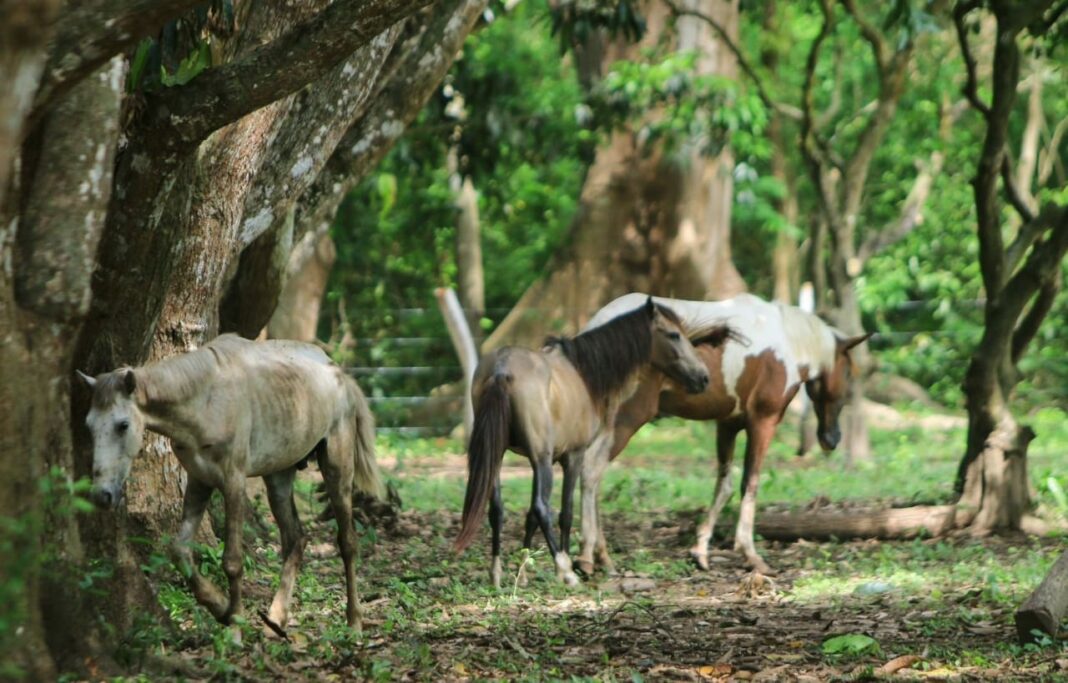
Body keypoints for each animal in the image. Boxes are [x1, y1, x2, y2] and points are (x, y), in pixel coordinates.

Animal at [80, 337, 388, 636]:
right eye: (89, 426)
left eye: (122, 425)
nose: (101, 495)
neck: (205, 399)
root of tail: (338, 373)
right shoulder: (199, 481)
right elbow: (180, 552)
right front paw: (221, 608)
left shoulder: (233, 482)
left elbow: (232, 561)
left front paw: (236, 627)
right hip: (278, 477)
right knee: (296, 538)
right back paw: (276, 620)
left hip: (337, 469)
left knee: (347, 542)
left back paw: (354, 623)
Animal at [450, 296, 734, 589]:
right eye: (674, 335)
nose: (703, 377)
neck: (583, 374)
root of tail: (501, 368)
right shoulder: (572, 456)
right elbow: (564, 513)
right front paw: (561, 567)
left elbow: (528, 517)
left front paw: (522, 572)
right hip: (541, 460)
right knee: (542, 508)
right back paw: (565, 570)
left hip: (496, 456)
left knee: (497, 510)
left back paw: (495, 574)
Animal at [576, 290, 867, 572]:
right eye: (848, 375)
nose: (832, 439)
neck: (787, 341)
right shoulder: (763, 422)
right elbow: (750, 482)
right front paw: (750, 554)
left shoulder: (728, 424)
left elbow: (724, 485)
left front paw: (700, 551)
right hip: (627, 421)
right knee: (592, 470)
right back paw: (590, 556)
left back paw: (600, 556)